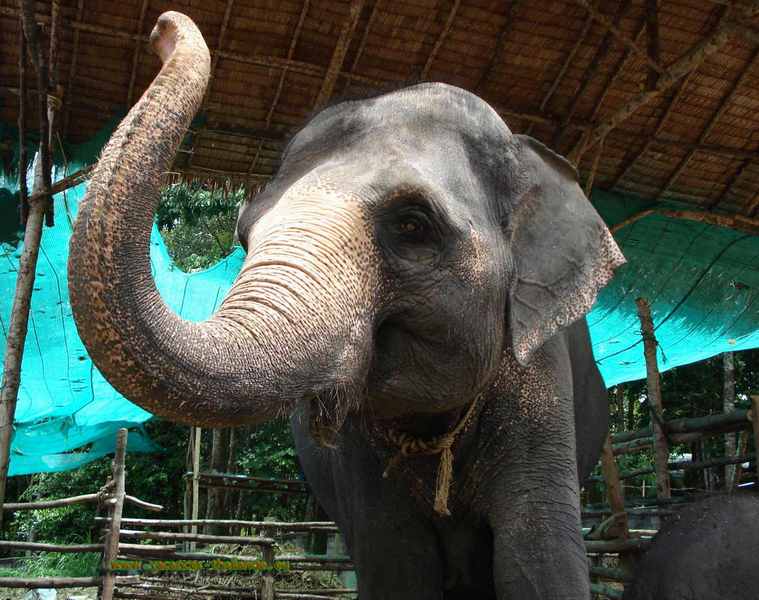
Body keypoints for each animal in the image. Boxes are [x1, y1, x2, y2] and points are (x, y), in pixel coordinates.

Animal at [67, 12, 625, 600]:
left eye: (412, 226)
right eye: (243, 235)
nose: (162, 27)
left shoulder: (541, 385)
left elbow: (541, 559)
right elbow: (395, 562)